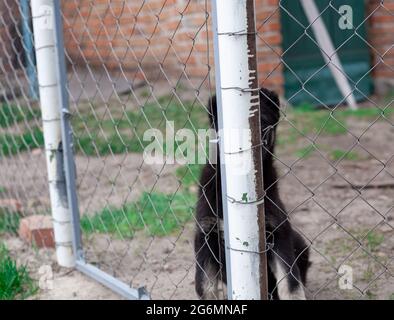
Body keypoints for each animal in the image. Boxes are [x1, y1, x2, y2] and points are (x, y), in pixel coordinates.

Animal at [194, 87, 310, 300]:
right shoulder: (205, 234)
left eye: (262, 123)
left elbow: (291, 284)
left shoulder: (278, 233)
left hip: (299, 242)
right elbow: (205, 286)